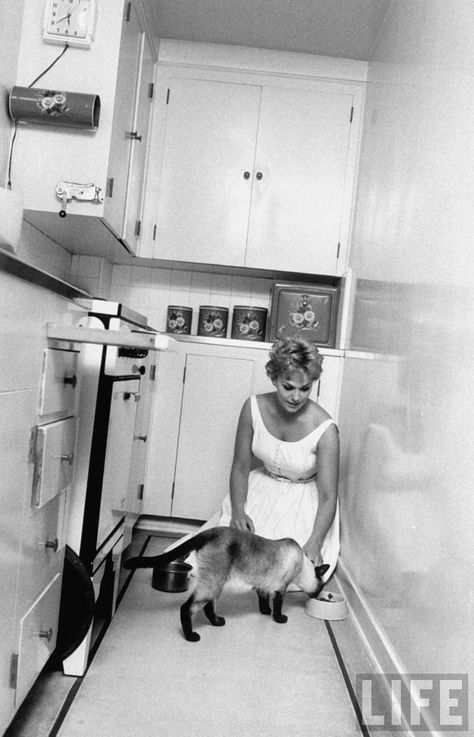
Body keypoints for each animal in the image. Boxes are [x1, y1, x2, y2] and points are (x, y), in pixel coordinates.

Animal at [123, 526, 330, 642]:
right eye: (321, 587)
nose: (317, 595)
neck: (302, 564)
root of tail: (210, 531)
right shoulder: (281, 588)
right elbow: (278, 605)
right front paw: (279, 618)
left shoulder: (262, 586)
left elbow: (263, 600)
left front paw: (265, 612)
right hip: (213, 585)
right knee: (186, 608)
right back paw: (191, 637)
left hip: (216, 583)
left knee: (209, 608)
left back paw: (217, 622)